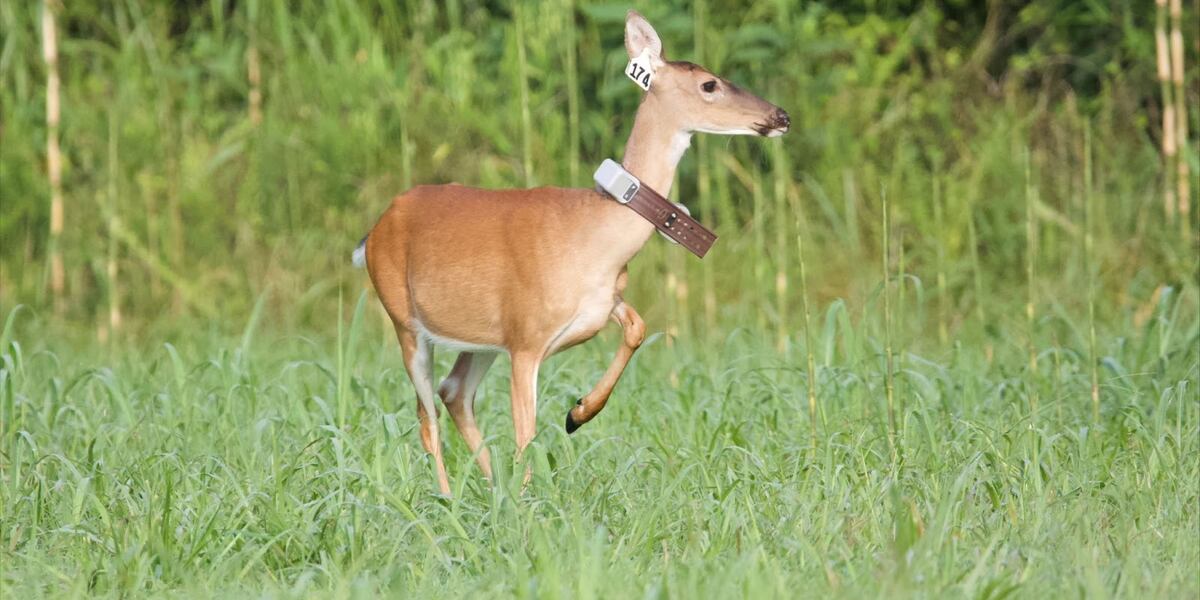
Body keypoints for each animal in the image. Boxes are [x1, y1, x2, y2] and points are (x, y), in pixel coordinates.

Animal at [353, 11, 789, 495]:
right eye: (709, 84)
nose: (781, 115)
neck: (596, 234)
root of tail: (373, 232)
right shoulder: (526, 336)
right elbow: (525, 431)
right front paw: (530, 497)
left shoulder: (598, 302)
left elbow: (638, 328)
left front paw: (577, 414)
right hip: (405, 321)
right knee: (427, 415)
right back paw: (451, 501)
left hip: (481, 336)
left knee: (455, 391)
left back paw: (493, 487)